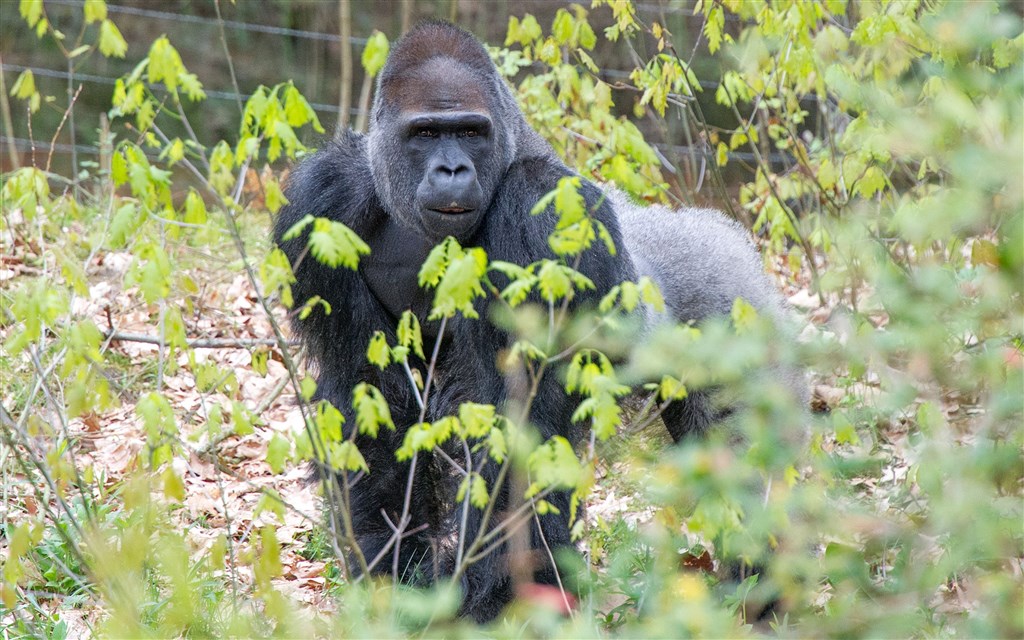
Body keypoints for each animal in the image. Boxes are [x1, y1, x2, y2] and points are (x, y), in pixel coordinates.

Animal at [276, 22, 802, 622]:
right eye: (425, 133)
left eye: (471, 132)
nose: (452, 169)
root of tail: (718, 234)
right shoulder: (324, 201)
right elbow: (369, 399)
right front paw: (394, 573)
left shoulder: (541, 210)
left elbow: (520, 425)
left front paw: (485, 599)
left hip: (735, 309)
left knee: (746, 459)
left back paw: (759, 593)